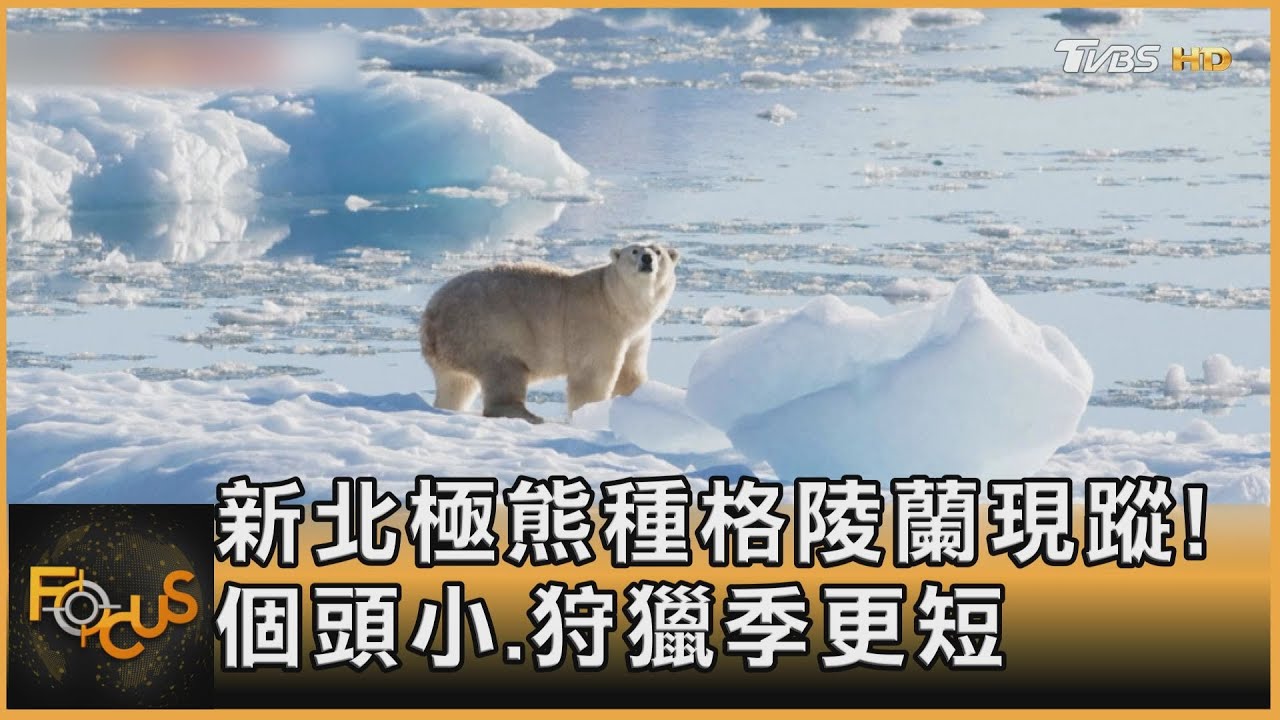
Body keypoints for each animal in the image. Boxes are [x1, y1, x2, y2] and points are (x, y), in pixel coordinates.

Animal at [419, 243, 679, 424]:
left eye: (658, 251)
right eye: (634, 250)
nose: (647, 258)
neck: (614, 300)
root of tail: (431, 316)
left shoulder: (636, 334)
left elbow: (630, 373)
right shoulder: (597, 325)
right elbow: (593, 375)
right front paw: (590, 413)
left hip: (455, 347)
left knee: (456, 384)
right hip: (487, 329)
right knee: (504, 371)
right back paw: (529, 415)